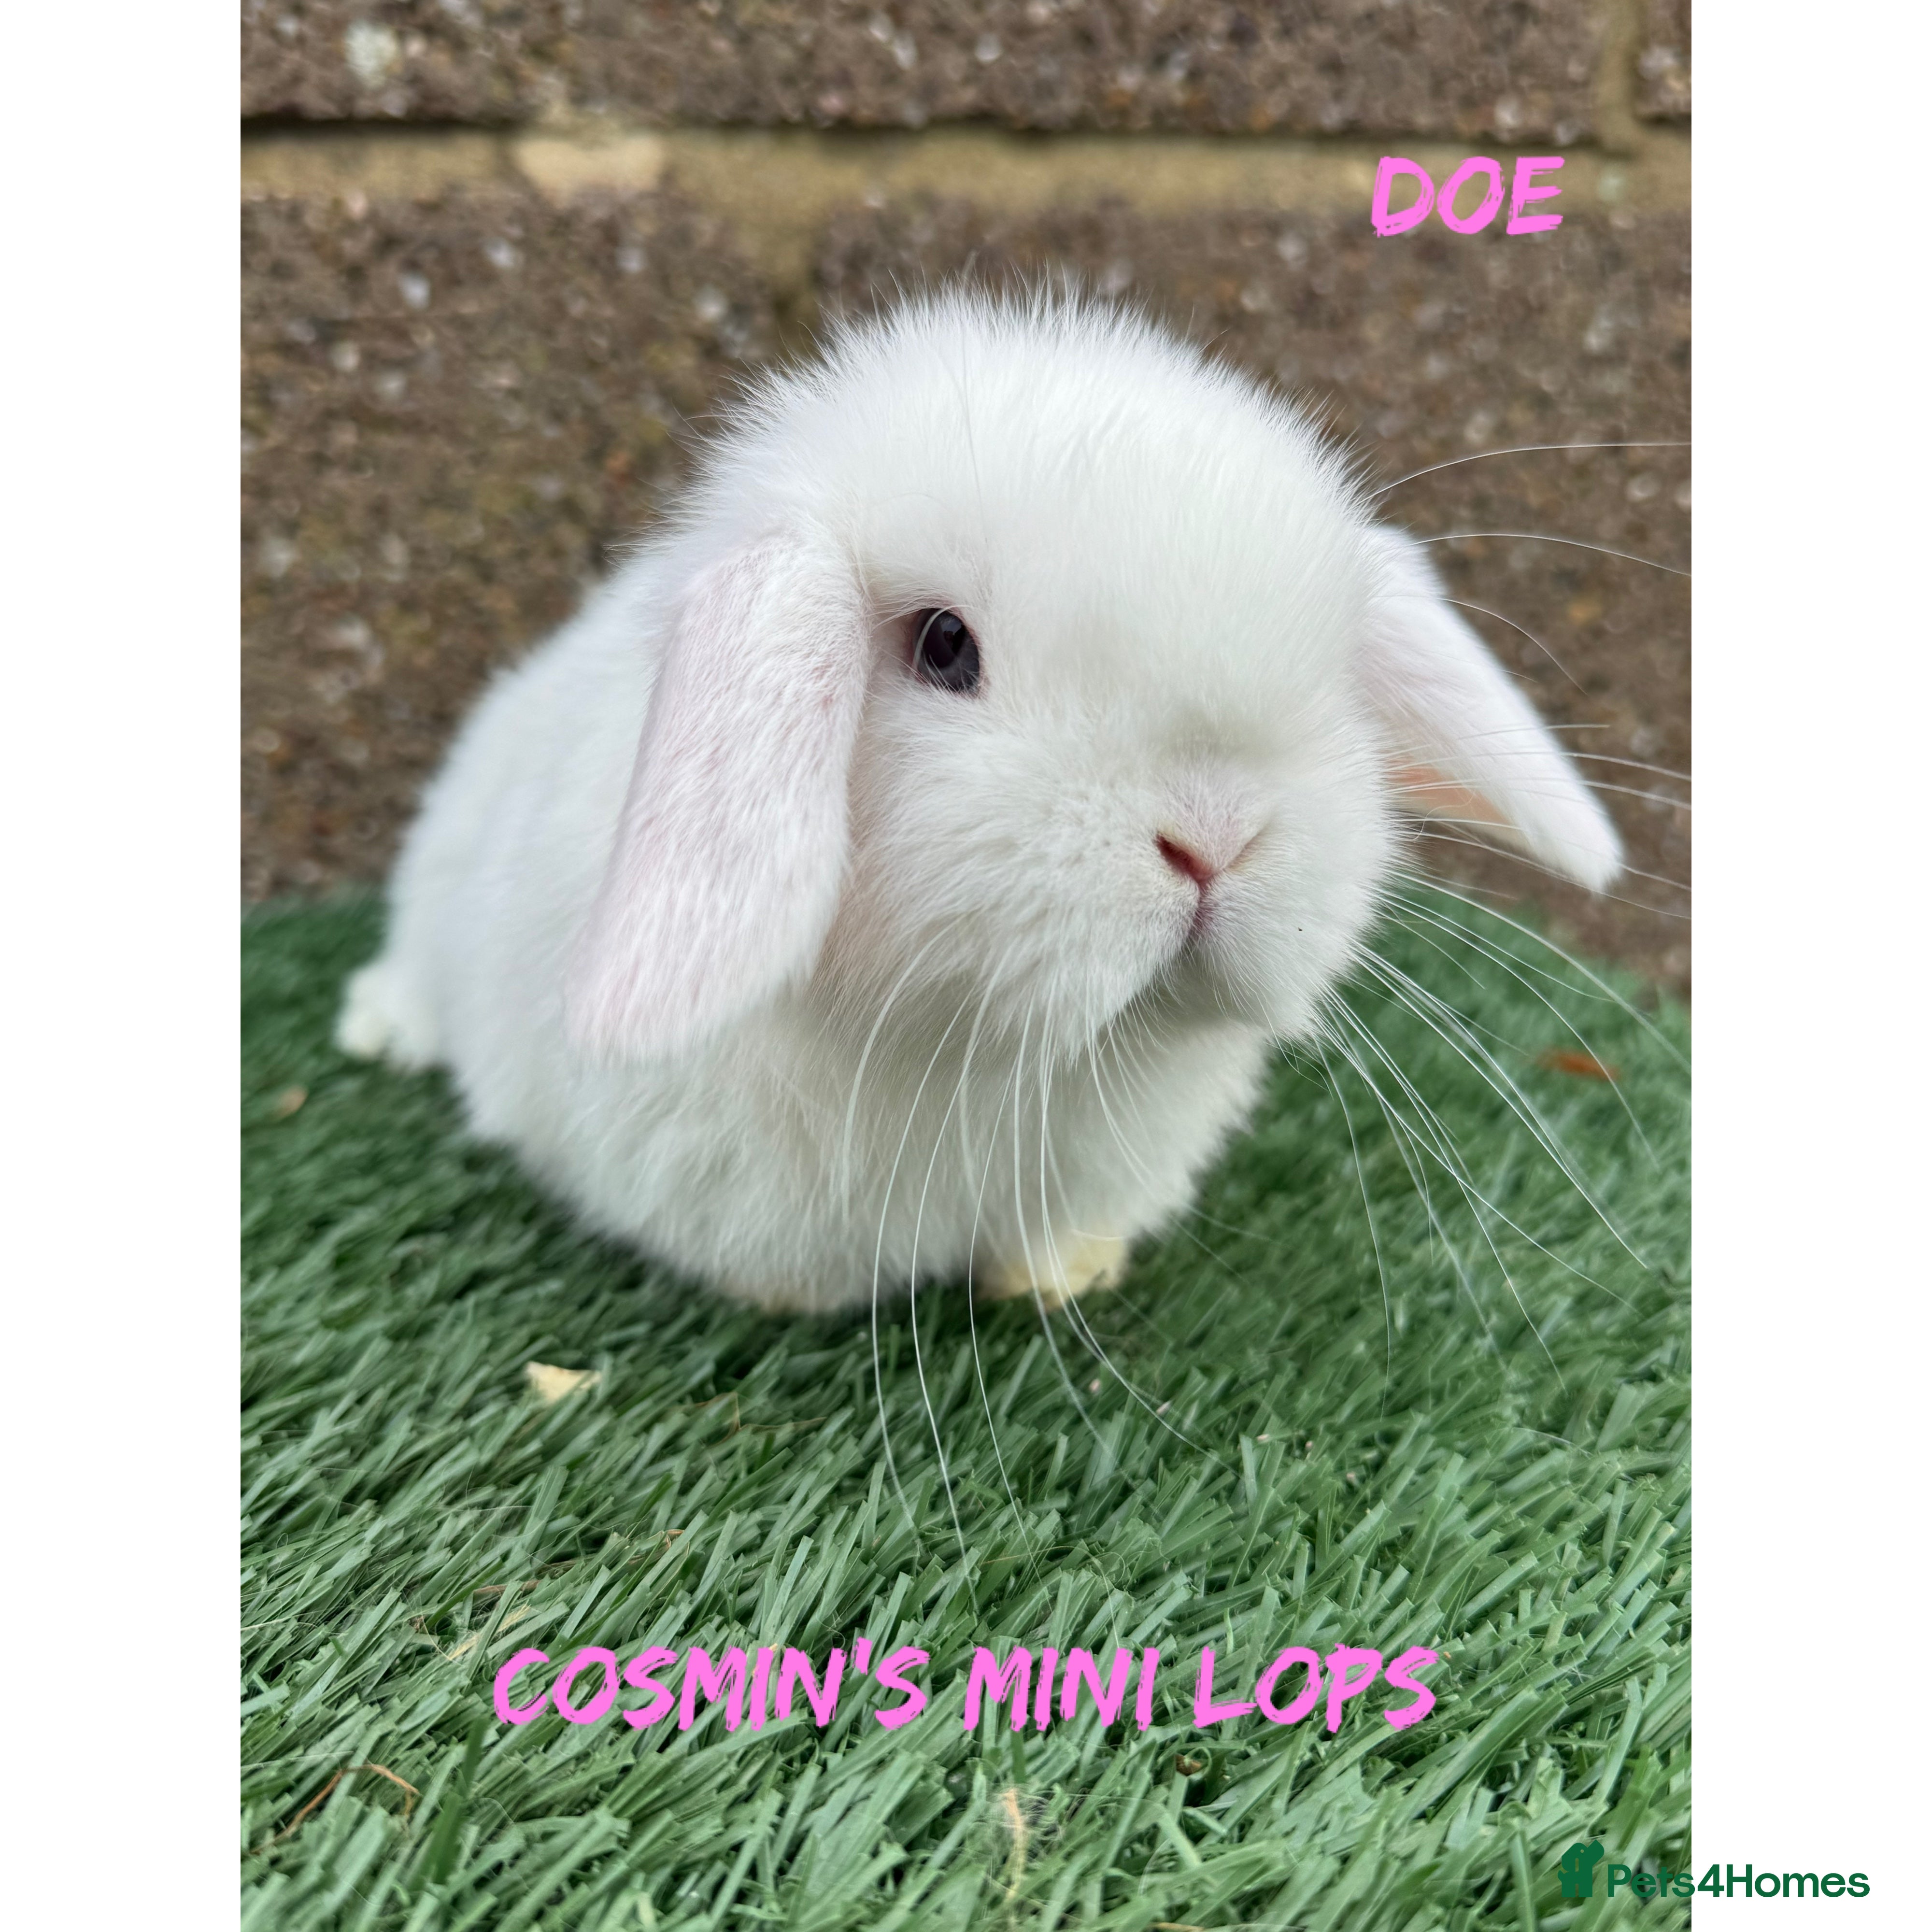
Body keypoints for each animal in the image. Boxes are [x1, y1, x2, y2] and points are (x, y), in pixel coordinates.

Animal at [335, 289, 1620, 1315]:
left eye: (1335, 672)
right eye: (944, 645)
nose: (1213, 838)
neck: (994, 1068)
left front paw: (1063, 1278)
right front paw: (793, 1301)